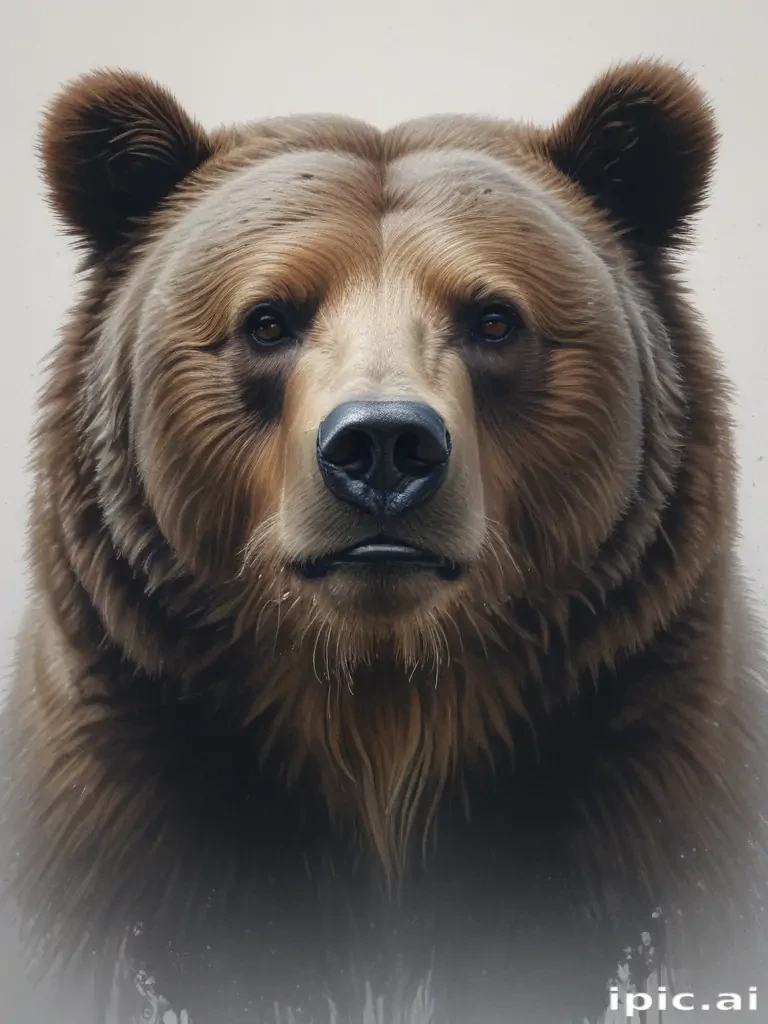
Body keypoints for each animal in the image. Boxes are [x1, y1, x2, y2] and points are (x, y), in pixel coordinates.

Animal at [2, 59, 767, 1024]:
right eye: (267, 319)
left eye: (493, 318)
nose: (383, 446)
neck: (384, 713)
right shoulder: (125, 793)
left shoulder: (647, 775)